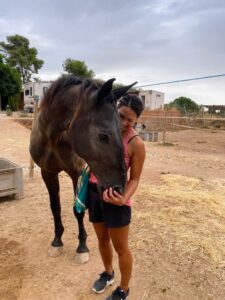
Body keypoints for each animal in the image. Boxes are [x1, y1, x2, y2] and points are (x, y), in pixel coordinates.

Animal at [29, 75, 135, 262]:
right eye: (102, 136)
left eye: (120, 129)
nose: (119, 189)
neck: (53, 138)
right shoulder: (47, 173)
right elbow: (55, 207)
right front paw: (57, 241)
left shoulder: (76, 174)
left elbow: (78, 211)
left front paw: (82, 247)